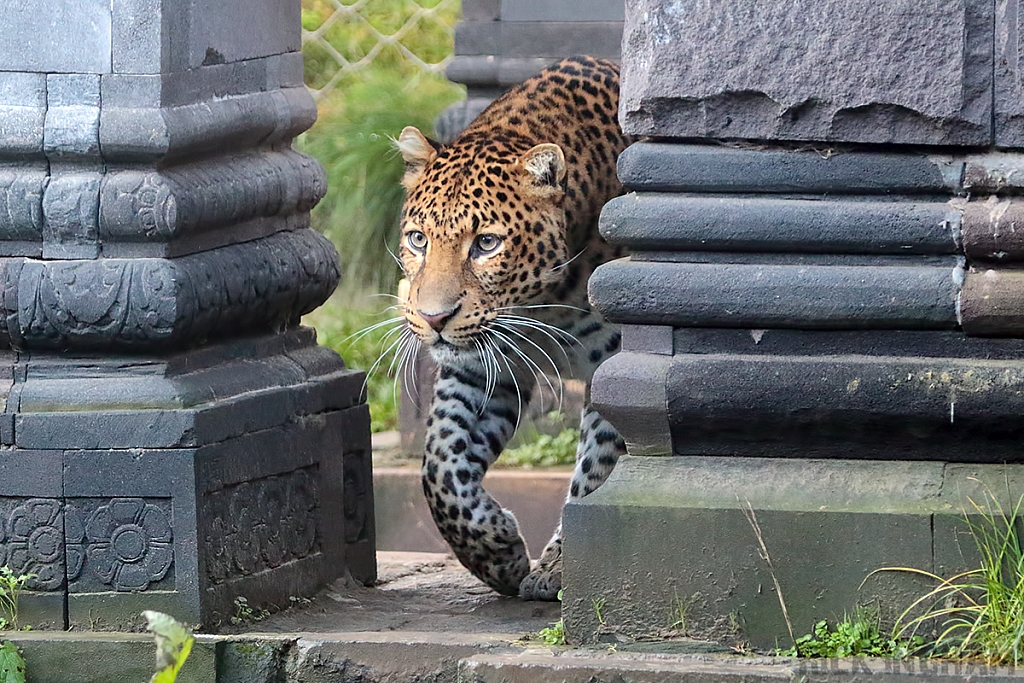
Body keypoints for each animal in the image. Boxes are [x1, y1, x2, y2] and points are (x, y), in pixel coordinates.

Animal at [391, 56, 630, 602]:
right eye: (418, 240)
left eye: (486, 244)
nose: (433, 319)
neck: (545, 304)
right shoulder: (479, 367)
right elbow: (440, 463)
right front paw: (496, 551)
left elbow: (597, 468)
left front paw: (561, 567)